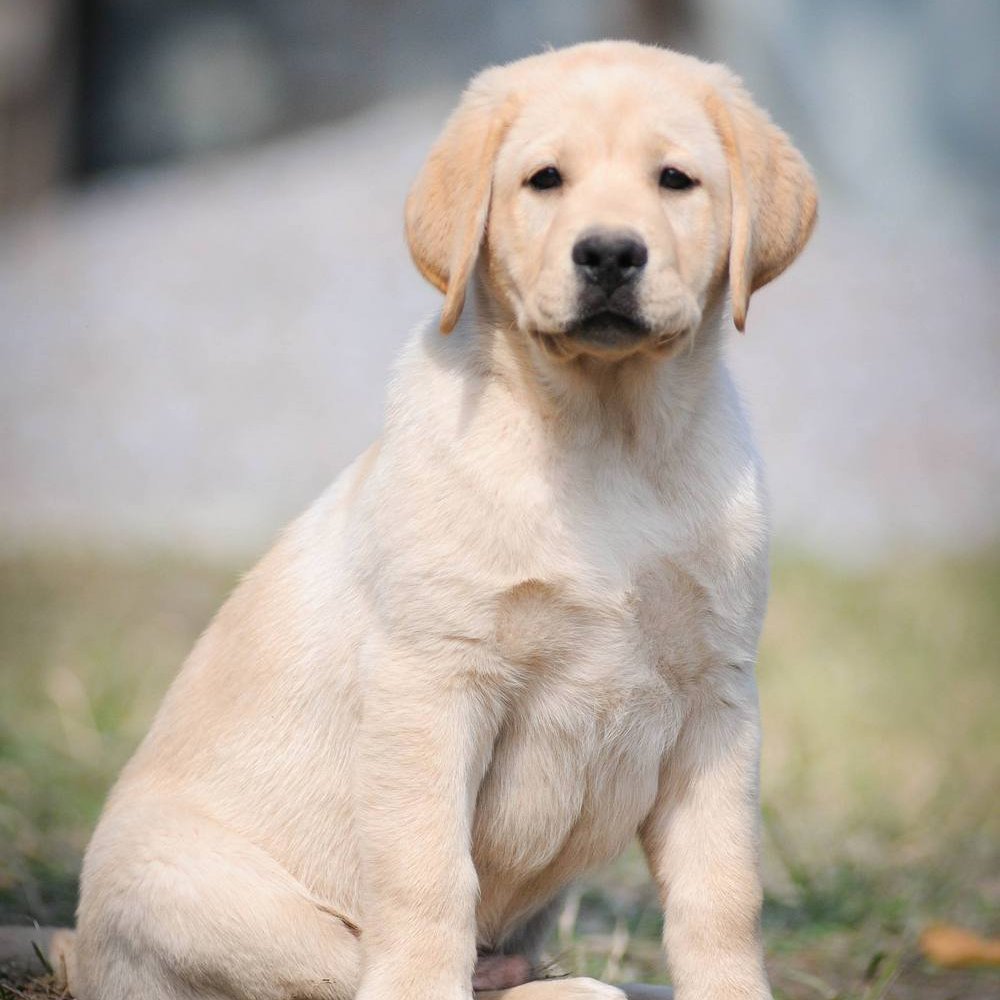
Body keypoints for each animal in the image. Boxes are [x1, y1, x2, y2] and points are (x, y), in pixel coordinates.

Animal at [60, 39, 812, 1000]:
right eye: (544, 179)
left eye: (675, 179)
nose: (609, 253)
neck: (605, 436)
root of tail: (79, 950)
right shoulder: (430, 685)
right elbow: (427, 874)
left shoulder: (717, 699)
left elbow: (722, 889)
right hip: (205, 893)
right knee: (348, 964)